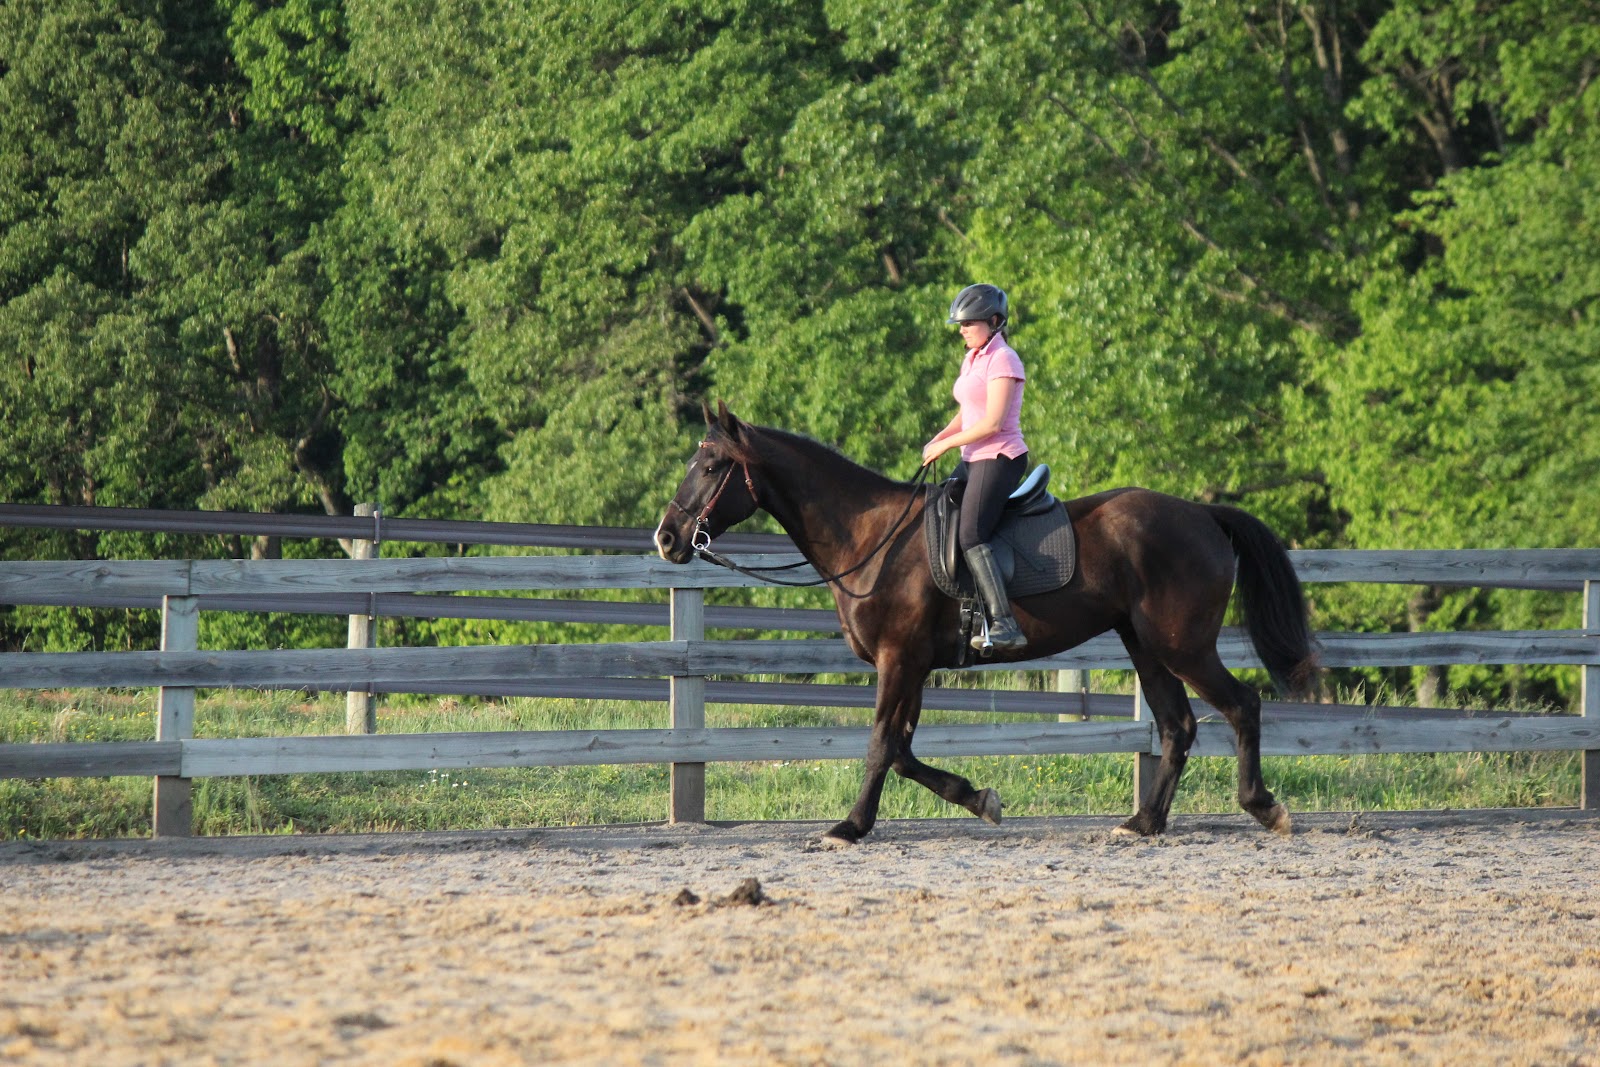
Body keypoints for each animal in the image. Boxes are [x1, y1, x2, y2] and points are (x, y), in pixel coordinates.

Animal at [654, 403, 1318, 846]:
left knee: (1242, 706)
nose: (666, 538)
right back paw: (1143, 822)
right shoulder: (915, 665)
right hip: (1147, 646)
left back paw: (1264, 807)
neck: (873, 538)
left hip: (1183, 646)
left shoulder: (899, 660)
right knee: (1177, 725)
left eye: (710, 466)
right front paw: (980, 800)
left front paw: (850, 826)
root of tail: (1202, 515)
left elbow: (880, 746)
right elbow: (902, 751)